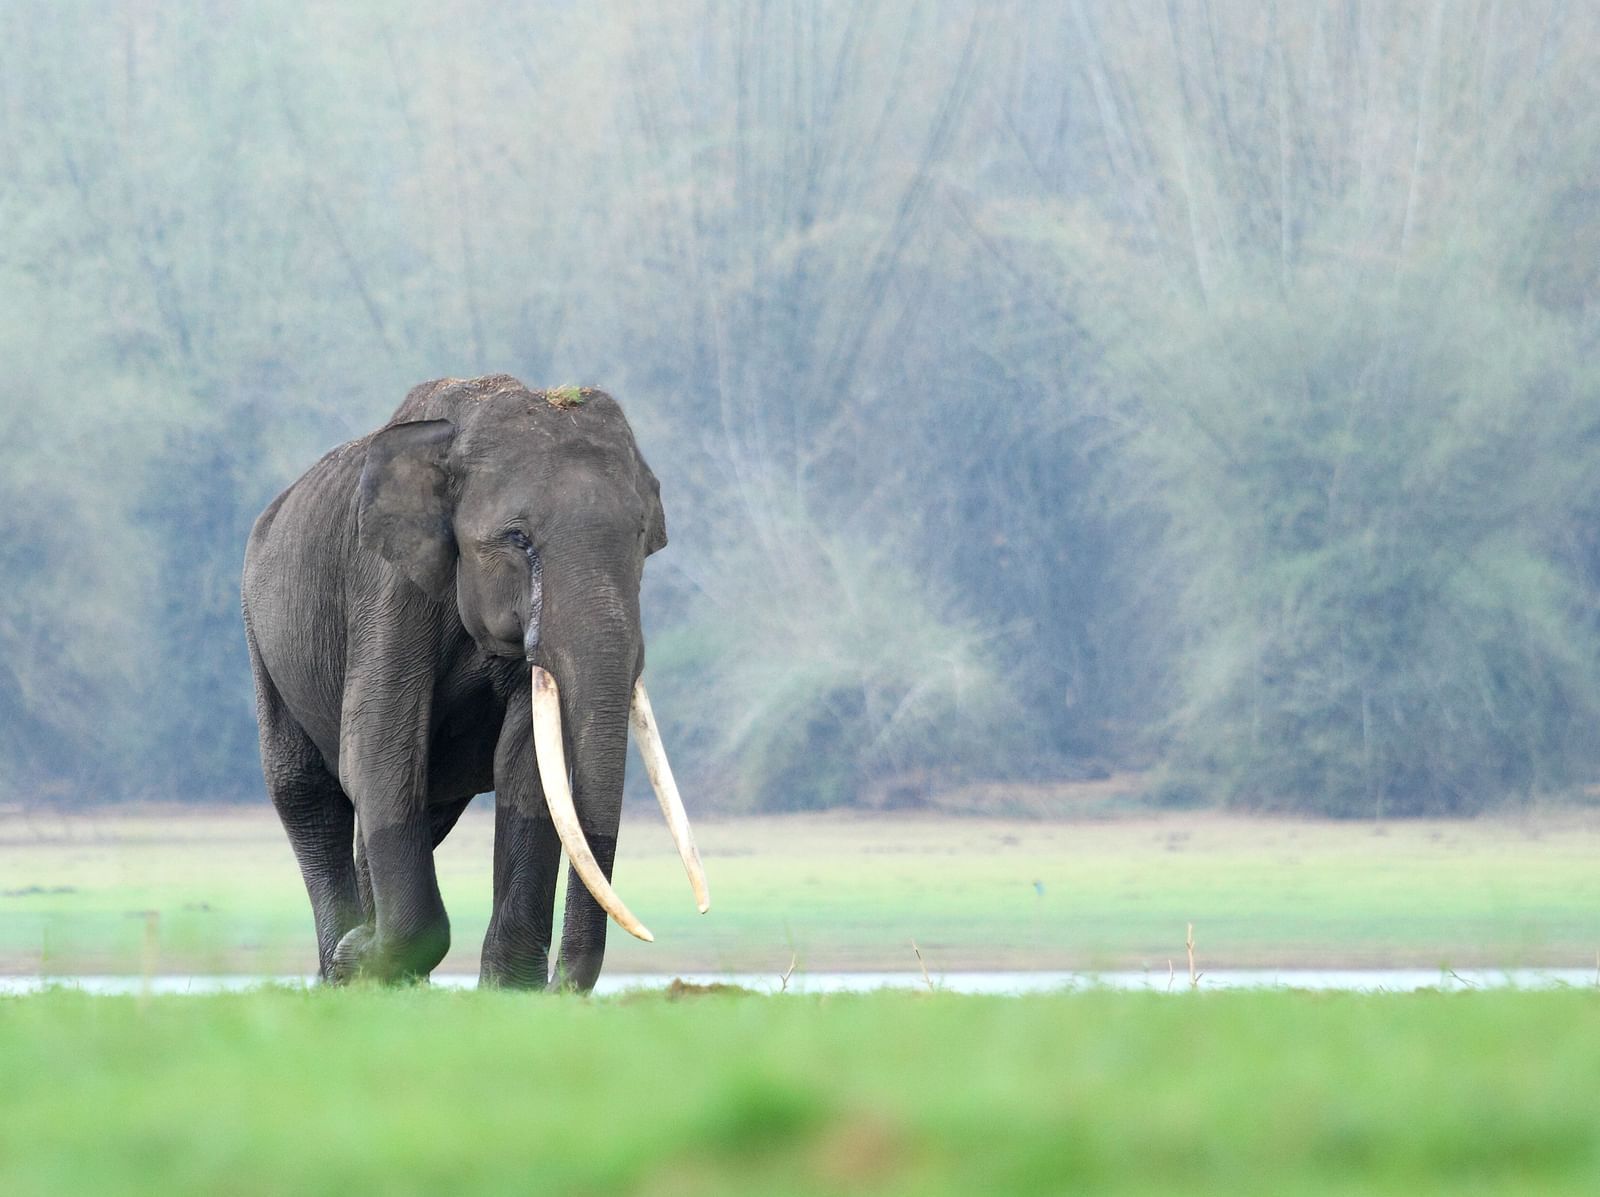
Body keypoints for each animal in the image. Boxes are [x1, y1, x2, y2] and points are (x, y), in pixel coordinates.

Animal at [241, 374, 708, 990]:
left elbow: (527, 769)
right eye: (517, 538)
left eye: (640, 537)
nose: (560, 987)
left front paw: (509, 993)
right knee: (306, 792)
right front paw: (357, 957)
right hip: (259, 628)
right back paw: (342, 971)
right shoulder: (387, 586)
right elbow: (377, 751)